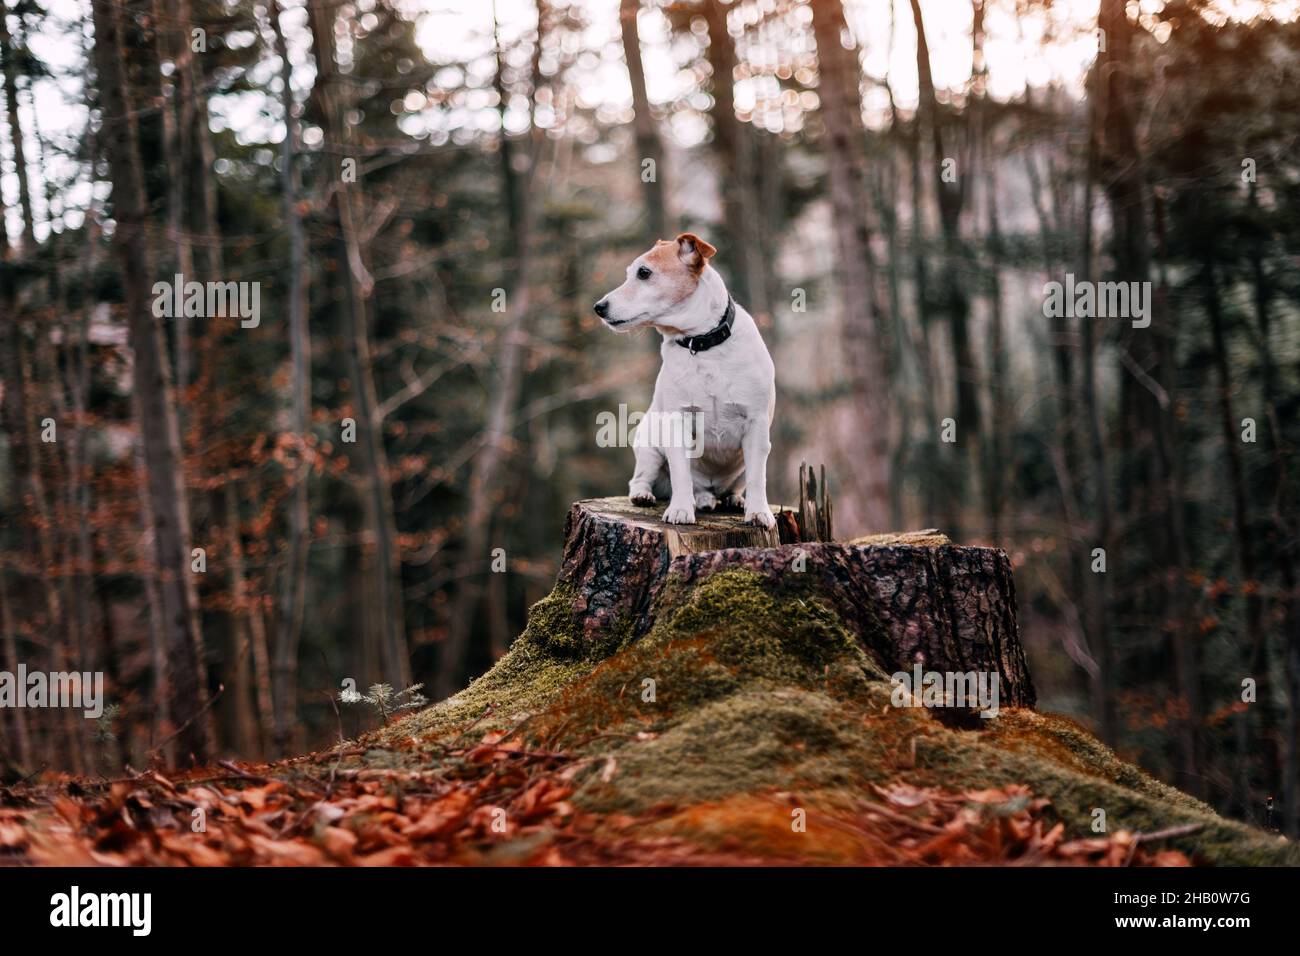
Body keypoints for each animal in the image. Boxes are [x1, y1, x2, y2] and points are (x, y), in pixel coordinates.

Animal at [595, 232, 774, 530]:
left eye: (644, 273)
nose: (598, 307)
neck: (701, 344)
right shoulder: (676, 423)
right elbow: (680, 474)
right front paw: (680, 510)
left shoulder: (756, 425)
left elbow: (757, 478)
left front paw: (758, 512)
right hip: (649, 447)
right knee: (643, 479)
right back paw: (654, 496)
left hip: (737, 469)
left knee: (732, 486)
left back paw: (729, 500)